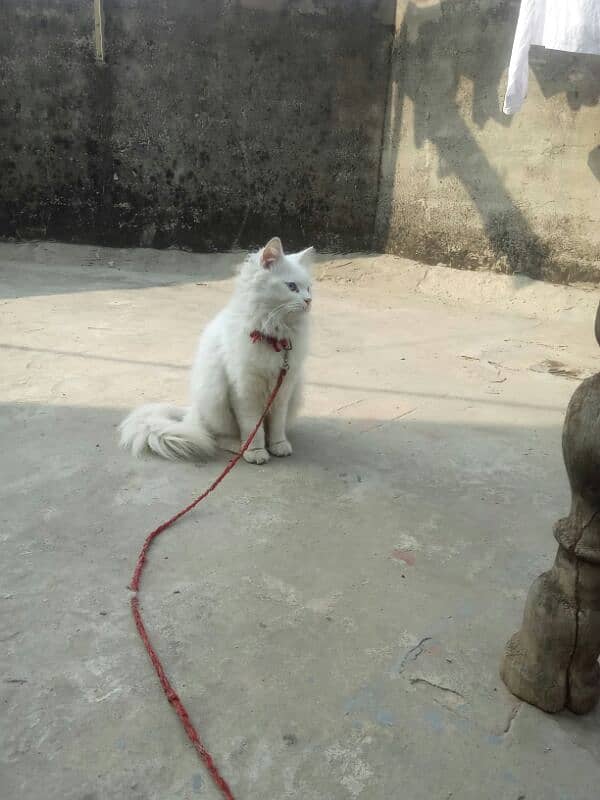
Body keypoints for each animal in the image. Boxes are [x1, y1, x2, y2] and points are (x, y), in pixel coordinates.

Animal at [118, 238, 314, 462]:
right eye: (292, 287)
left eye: (309, 289)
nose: (308, 301)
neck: (272, 334)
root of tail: (191, 412)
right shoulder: (244, 390)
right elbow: (252, 427)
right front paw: (256, 452)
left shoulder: (283, 389)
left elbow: (276, 426)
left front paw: (278, 446)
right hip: (214, 398)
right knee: (216, 437)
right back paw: (239, 447)